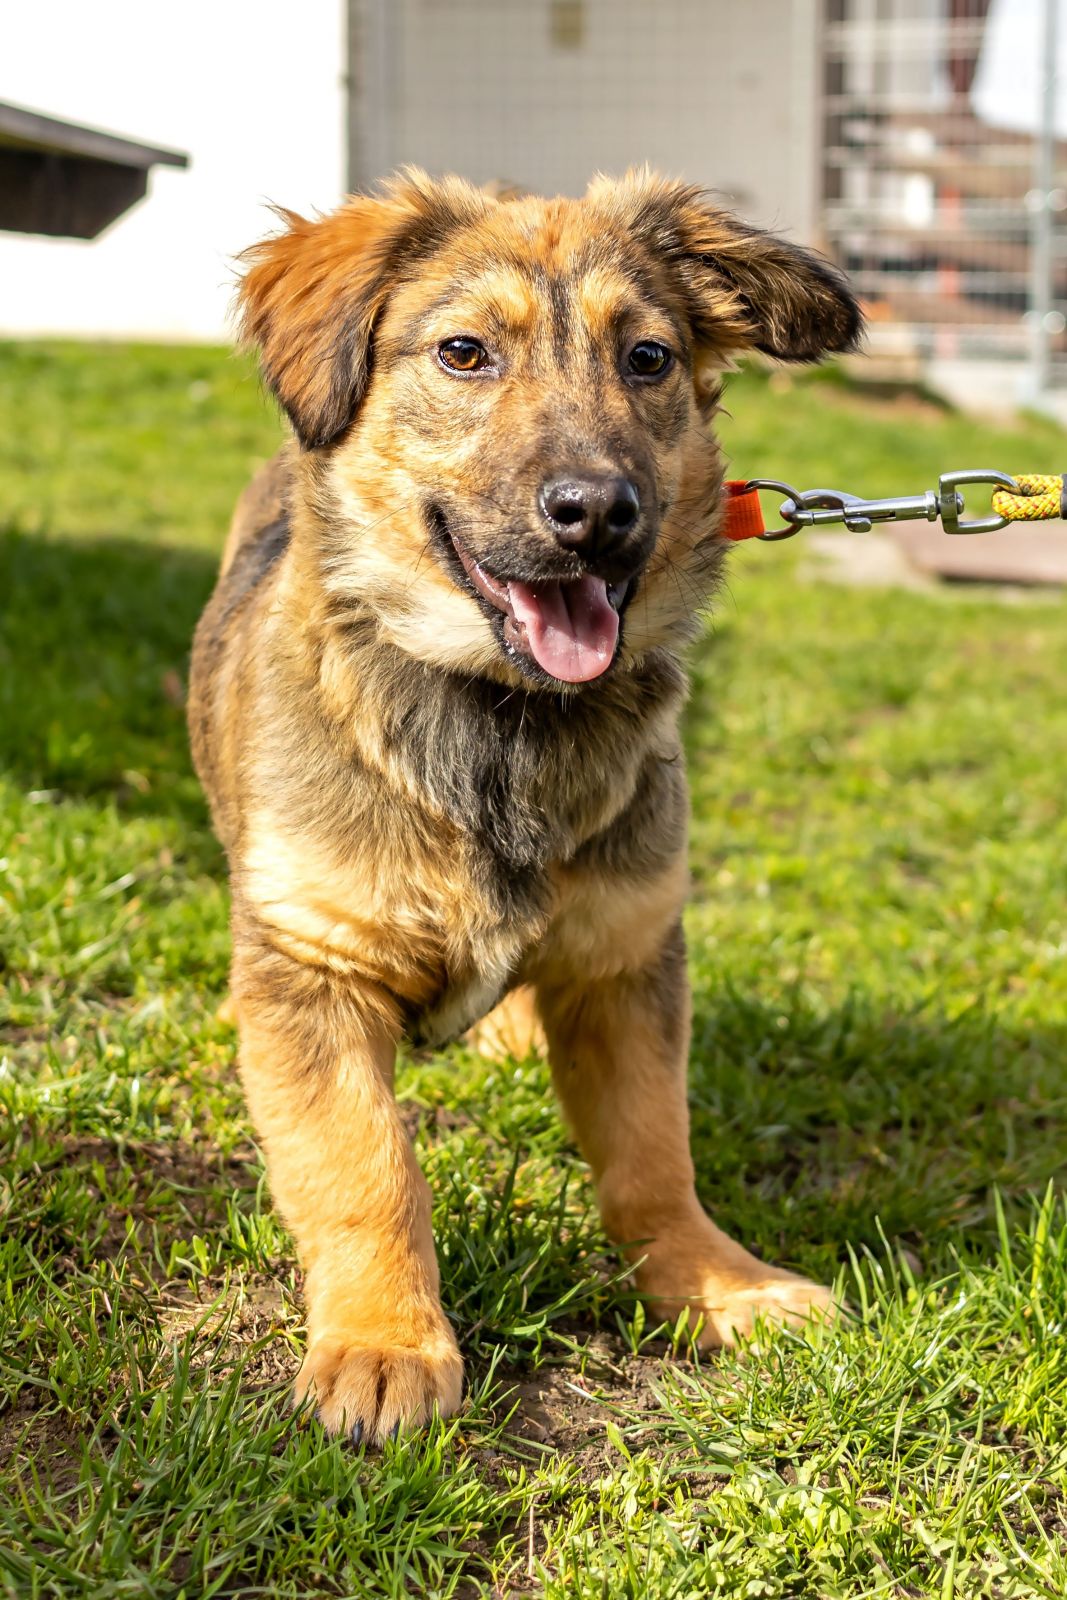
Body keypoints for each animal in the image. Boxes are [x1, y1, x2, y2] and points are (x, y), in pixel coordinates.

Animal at [188, 169, 861, 1444]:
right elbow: (360, 1166)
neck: (505, 721)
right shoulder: (314, 964)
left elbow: (652, 1150)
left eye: (646, 358)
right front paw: (384, 1342)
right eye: (464, 353)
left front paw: (715, 1282)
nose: (595, 511)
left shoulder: (628, 955)